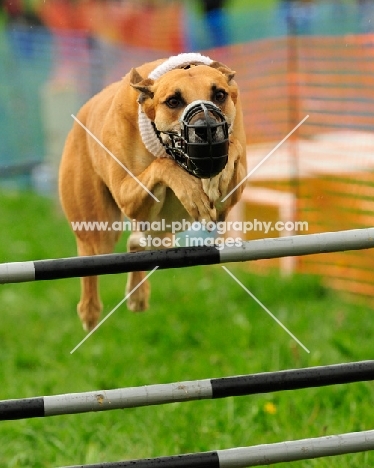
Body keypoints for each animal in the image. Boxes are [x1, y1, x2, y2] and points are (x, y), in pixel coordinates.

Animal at [60, 53, 247, 330]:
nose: (207, 128)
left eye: (220, 94)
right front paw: (192, 191)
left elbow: (233, 150)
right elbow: (163, 165)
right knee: (89, 256)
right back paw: (90, 311)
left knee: (135, 243)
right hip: (100, 230)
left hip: (160, 235)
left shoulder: (229, 197)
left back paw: (137, 295)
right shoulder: (129, 196)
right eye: (173, 101)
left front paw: (218, 177)